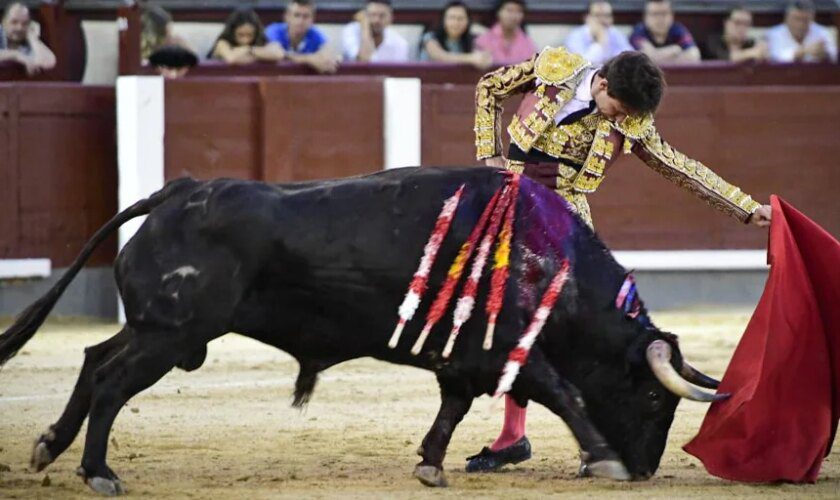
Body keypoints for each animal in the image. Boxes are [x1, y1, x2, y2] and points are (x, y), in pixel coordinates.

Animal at [0, 167, 720, 492]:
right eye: (652, 398)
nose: (646, 469)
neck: (547, 264)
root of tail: (179, 190)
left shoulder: (464, 359)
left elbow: (453, 408)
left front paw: (430, 464)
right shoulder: (511, 350)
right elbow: (563, 393)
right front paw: (603, 459)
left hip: (158, 328)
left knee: (93, 360)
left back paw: (49, 447)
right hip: (170, 336)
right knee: (112, 381)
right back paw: (98, 471)